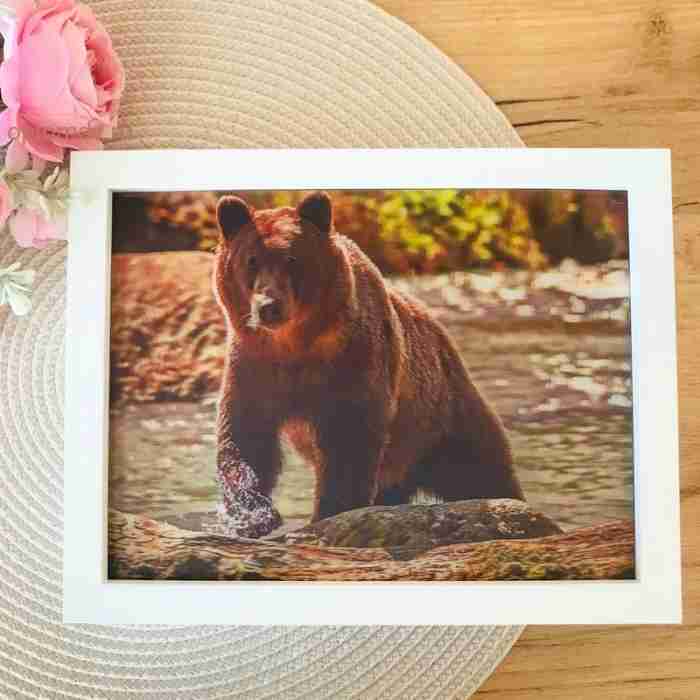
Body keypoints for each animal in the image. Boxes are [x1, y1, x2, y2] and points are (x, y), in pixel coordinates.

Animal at [213, 191, 524, 538]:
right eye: (251, 260)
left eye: (292, 259)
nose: (269, 306)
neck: (295, 345)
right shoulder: (254, 366)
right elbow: (247, 438)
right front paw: (253, 516)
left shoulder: (354, 361)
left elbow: (349, 440)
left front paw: (330, 510)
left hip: (440, 416)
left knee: (481, 469)